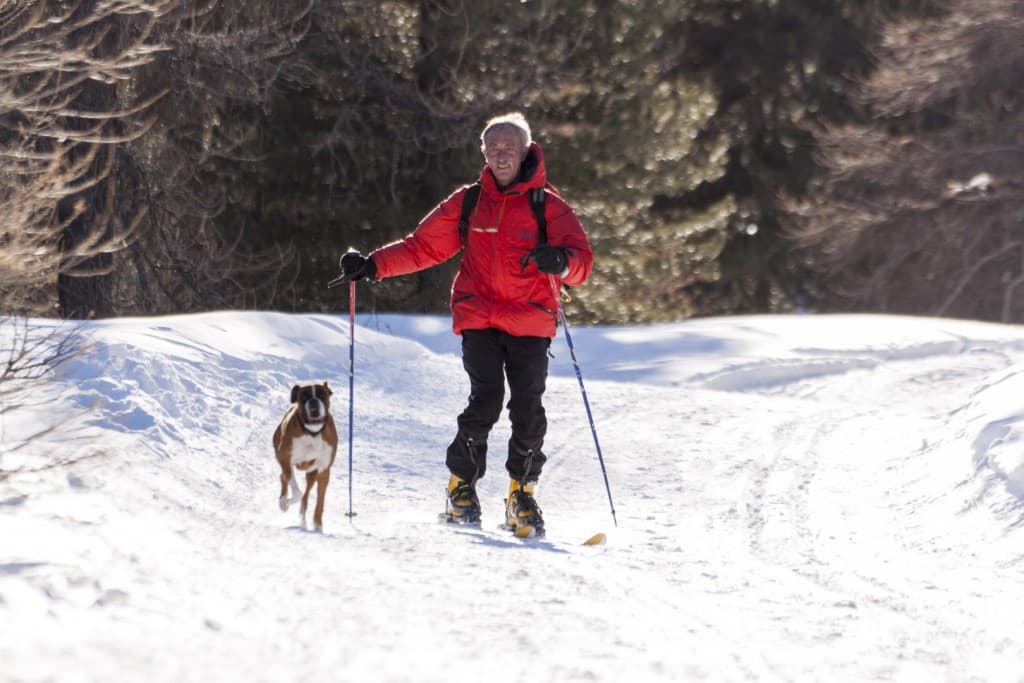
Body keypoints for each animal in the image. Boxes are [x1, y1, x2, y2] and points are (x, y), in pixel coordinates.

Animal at [272, 382, 339, 532]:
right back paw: (284, 502)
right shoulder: (285, 460)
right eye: (304, 396)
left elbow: (319, 501)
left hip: (312, 474)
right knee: (284, 478)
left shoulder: (324, 470)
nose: (313, 401)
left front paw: (318, 526)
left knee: (306, 495)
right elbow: (296, 491)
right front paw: (285, 503)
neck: (312, 433)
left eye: (322, 394)